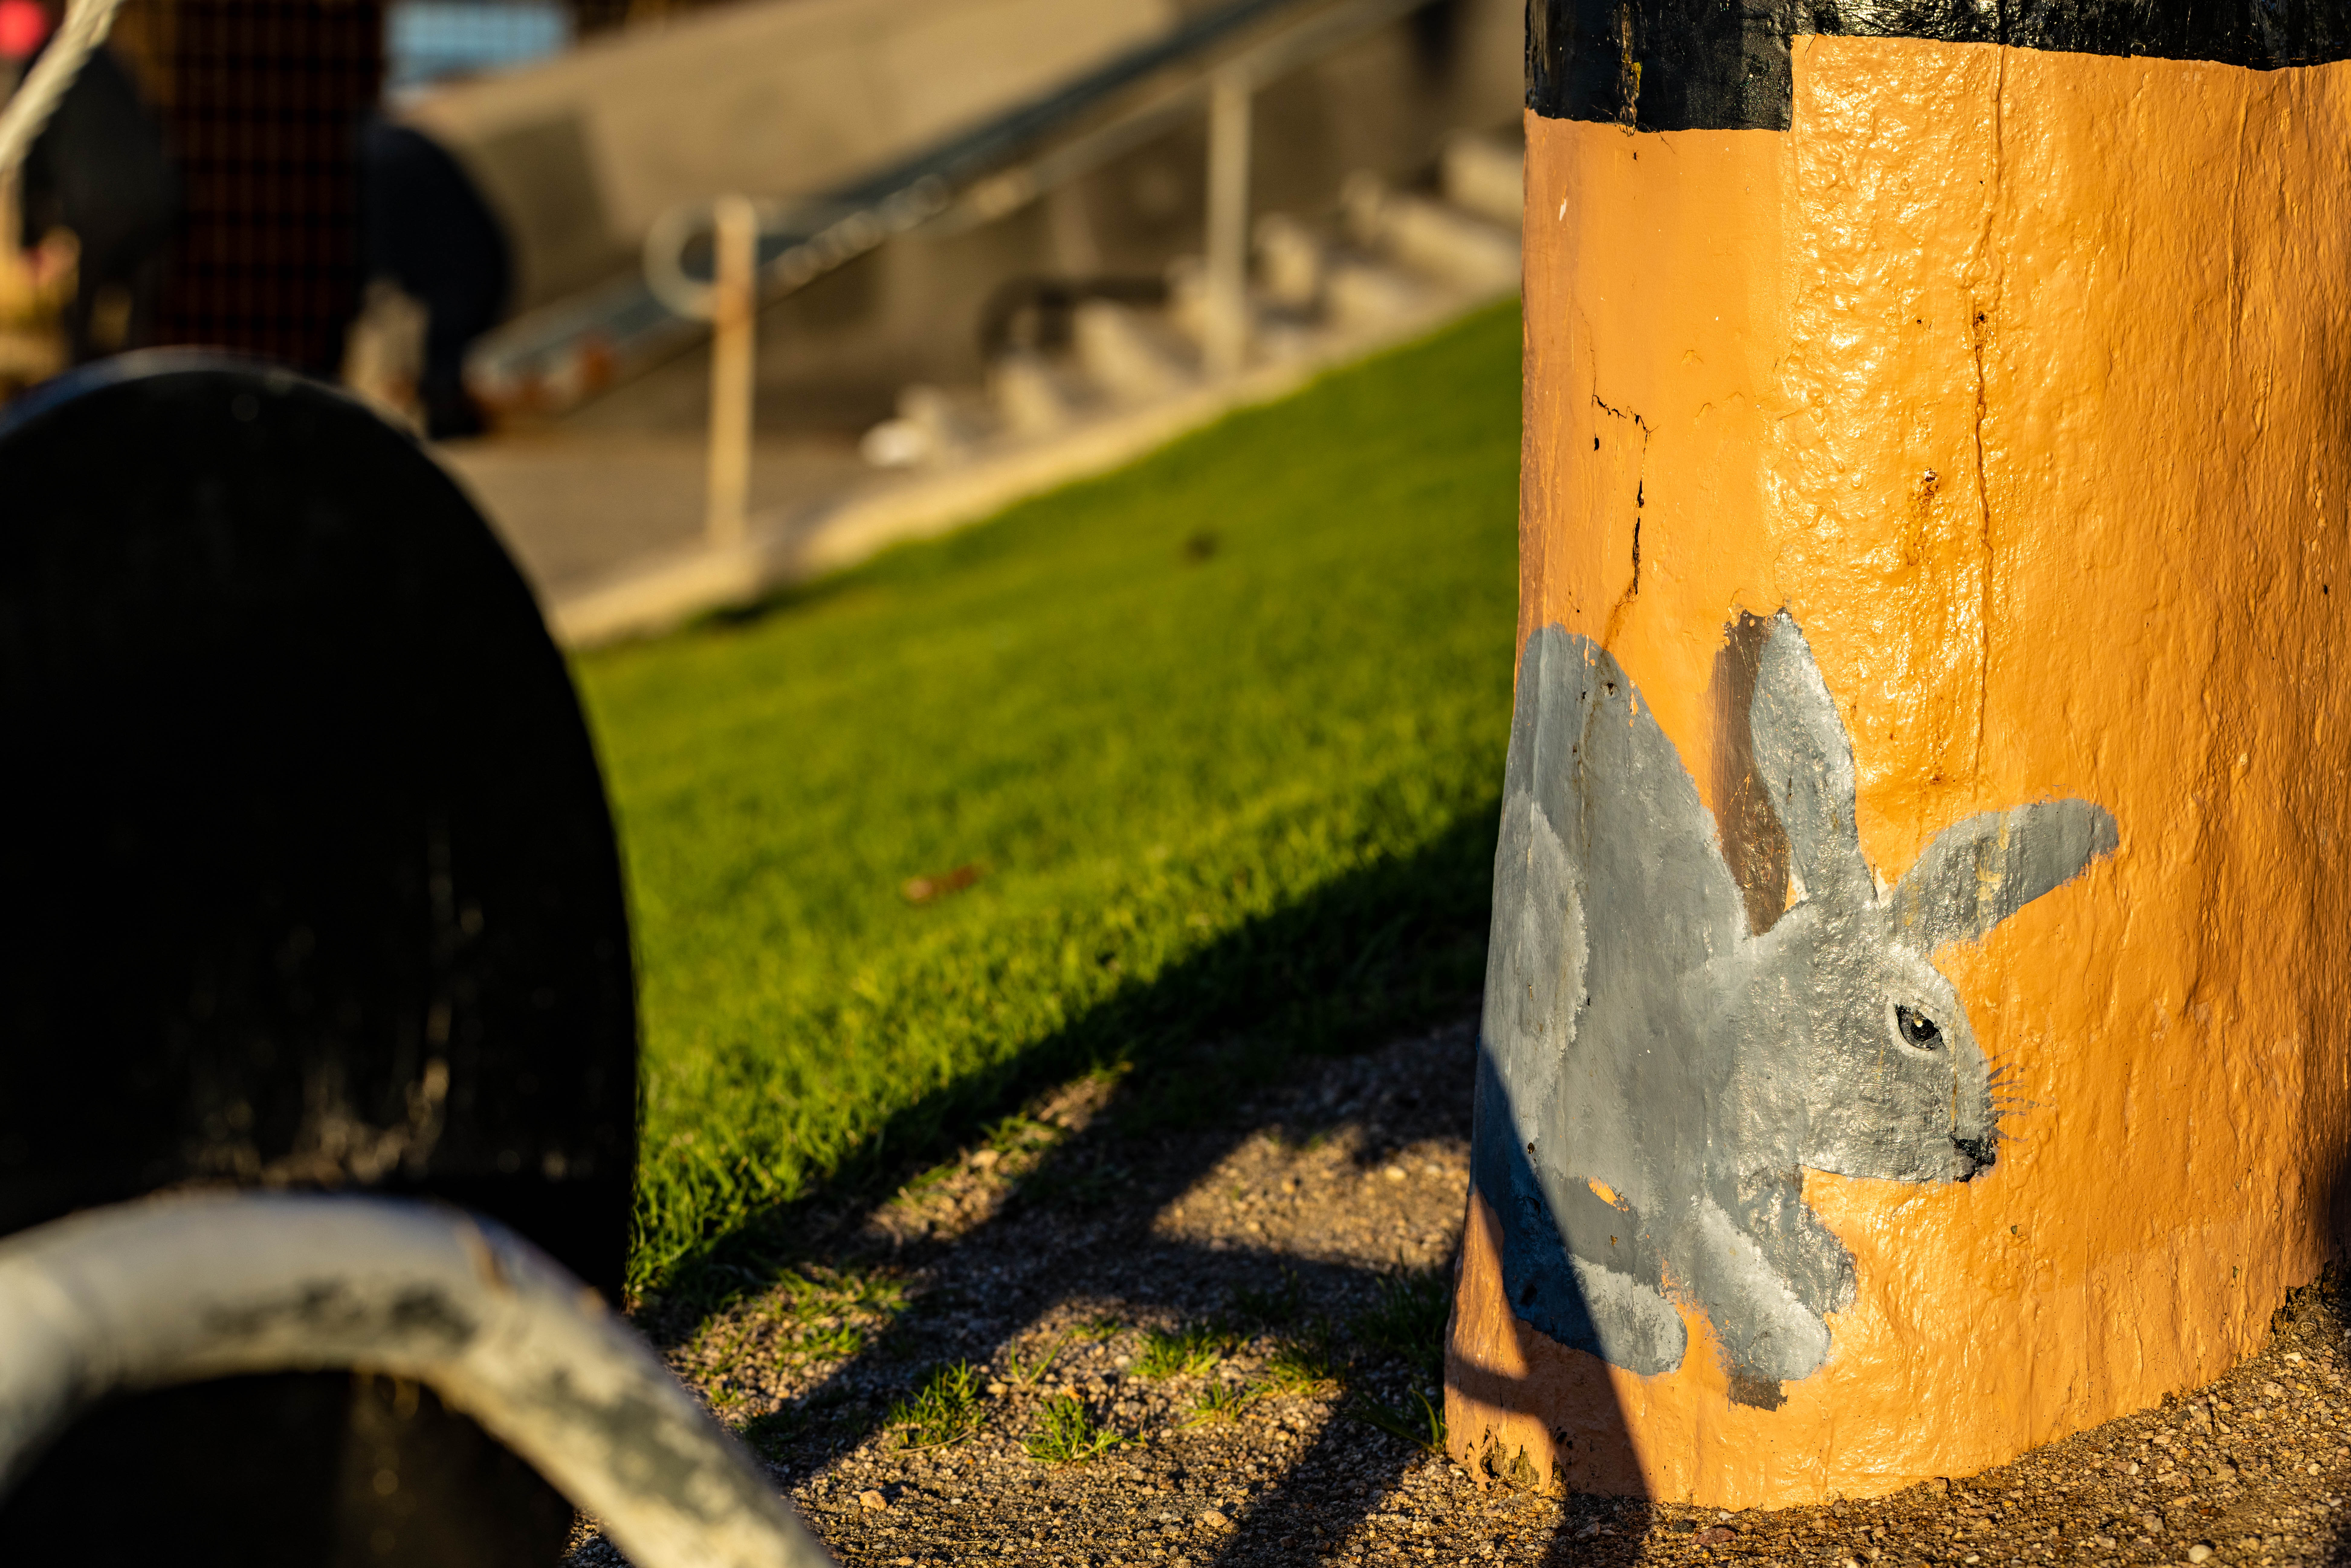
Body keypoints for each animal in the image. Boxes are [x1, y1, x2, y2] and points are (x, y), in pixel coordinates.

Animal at [1471, 611, 2116, 1406]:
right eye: (1918, 1027)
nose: (1980, 1149)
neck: (1728, 1038)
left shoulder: (1750, 1175)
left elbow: (1776, 1224)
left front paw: (1827, 1272)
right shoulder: (1666, 1167)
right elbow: (1708, 1250)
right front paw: (1784, 1337)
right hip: (1546, 953)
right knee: (1524, 1229)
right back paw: (1638, 1326)